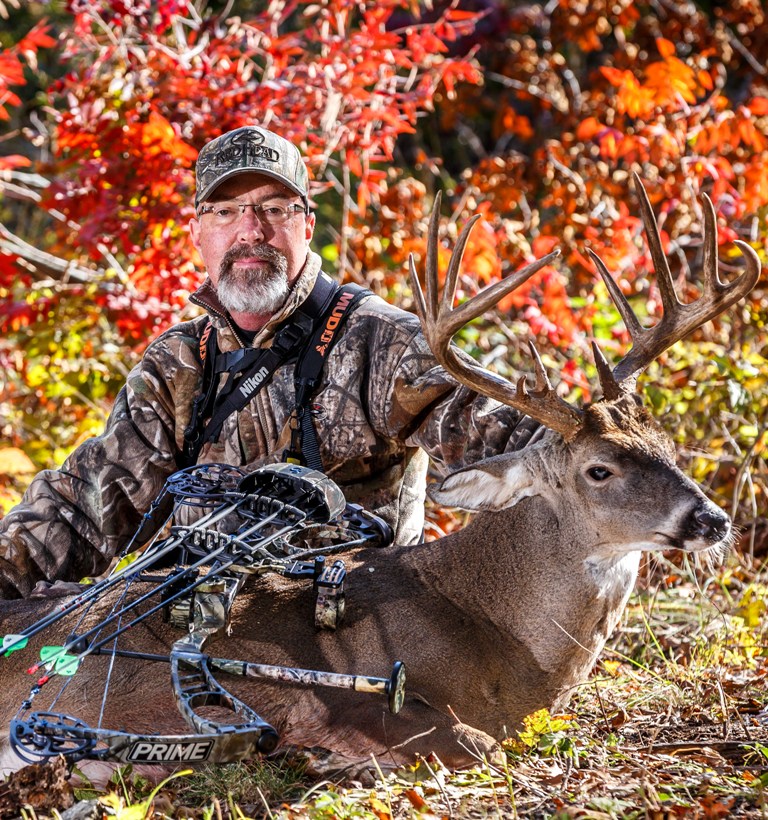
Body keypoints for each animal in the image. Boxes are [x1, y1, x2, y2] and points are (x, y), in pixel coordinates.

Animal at [0, 176, 761, 784]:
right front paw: (328, 755)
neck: (506, 644)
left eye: (666, 445)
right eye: (599, 469)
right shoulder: (338, 691)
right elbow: (477, 743)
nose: (712, 520)